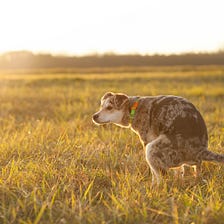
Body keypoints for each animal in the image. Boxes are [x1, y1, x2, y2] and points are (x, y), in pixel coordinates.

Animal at [92, 92, 223, 186]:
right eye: (101, 106)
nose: (94, 116)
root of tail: (200, 150)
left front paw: (152, 185)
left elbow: (154, 174)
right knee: (194, 170)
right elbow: (179, 171)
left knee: (162, 177)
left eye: (109, 107)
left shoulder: (146, 142)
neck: (133, 108)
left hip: (152, 149)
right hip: (191, 162)